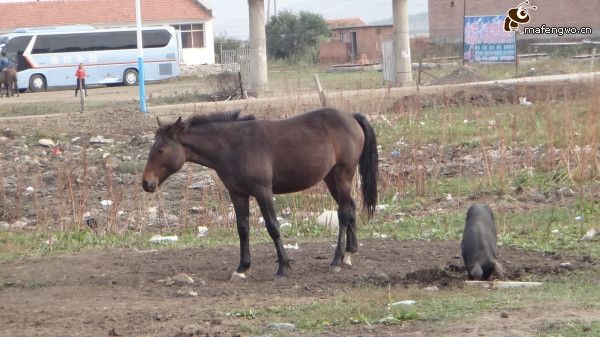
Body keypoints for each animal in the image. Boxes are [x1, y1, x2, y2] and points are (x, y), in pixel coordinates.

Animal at [141, 108, 378, 278]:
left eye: (160, 149)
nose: (146, 183)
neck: (232, 146)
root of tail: (351, 117)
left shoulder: (263, 191)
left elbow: (273, 226)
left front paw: (283, 267)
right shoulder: (237, 194)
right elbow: (243, 229)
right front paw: (242, 267)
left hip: (343, 174)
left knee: (344, 213)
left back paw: (337, 260)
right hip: (330, 178)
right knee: (350, 208)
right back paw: (350, 252)